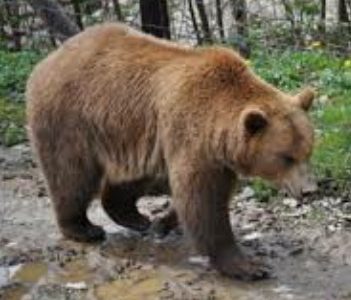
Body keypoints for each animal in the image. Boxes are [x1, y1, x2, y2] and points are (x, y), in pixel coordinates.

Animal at [24, 22, 316, 280]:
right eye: (286, 157)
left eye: (308, 151)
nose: (309, 190)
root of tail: (48, 60)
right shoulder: (192, 137)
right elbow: (202, 201)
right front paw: (247, 265)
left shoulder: (213, 156)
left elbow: (199, 197)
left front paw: (162, 222)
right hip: (70, 117)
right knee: (71, 174)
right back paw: (84, 228)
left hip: (134, 136)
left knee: (130, 179)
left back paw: (136, 218)